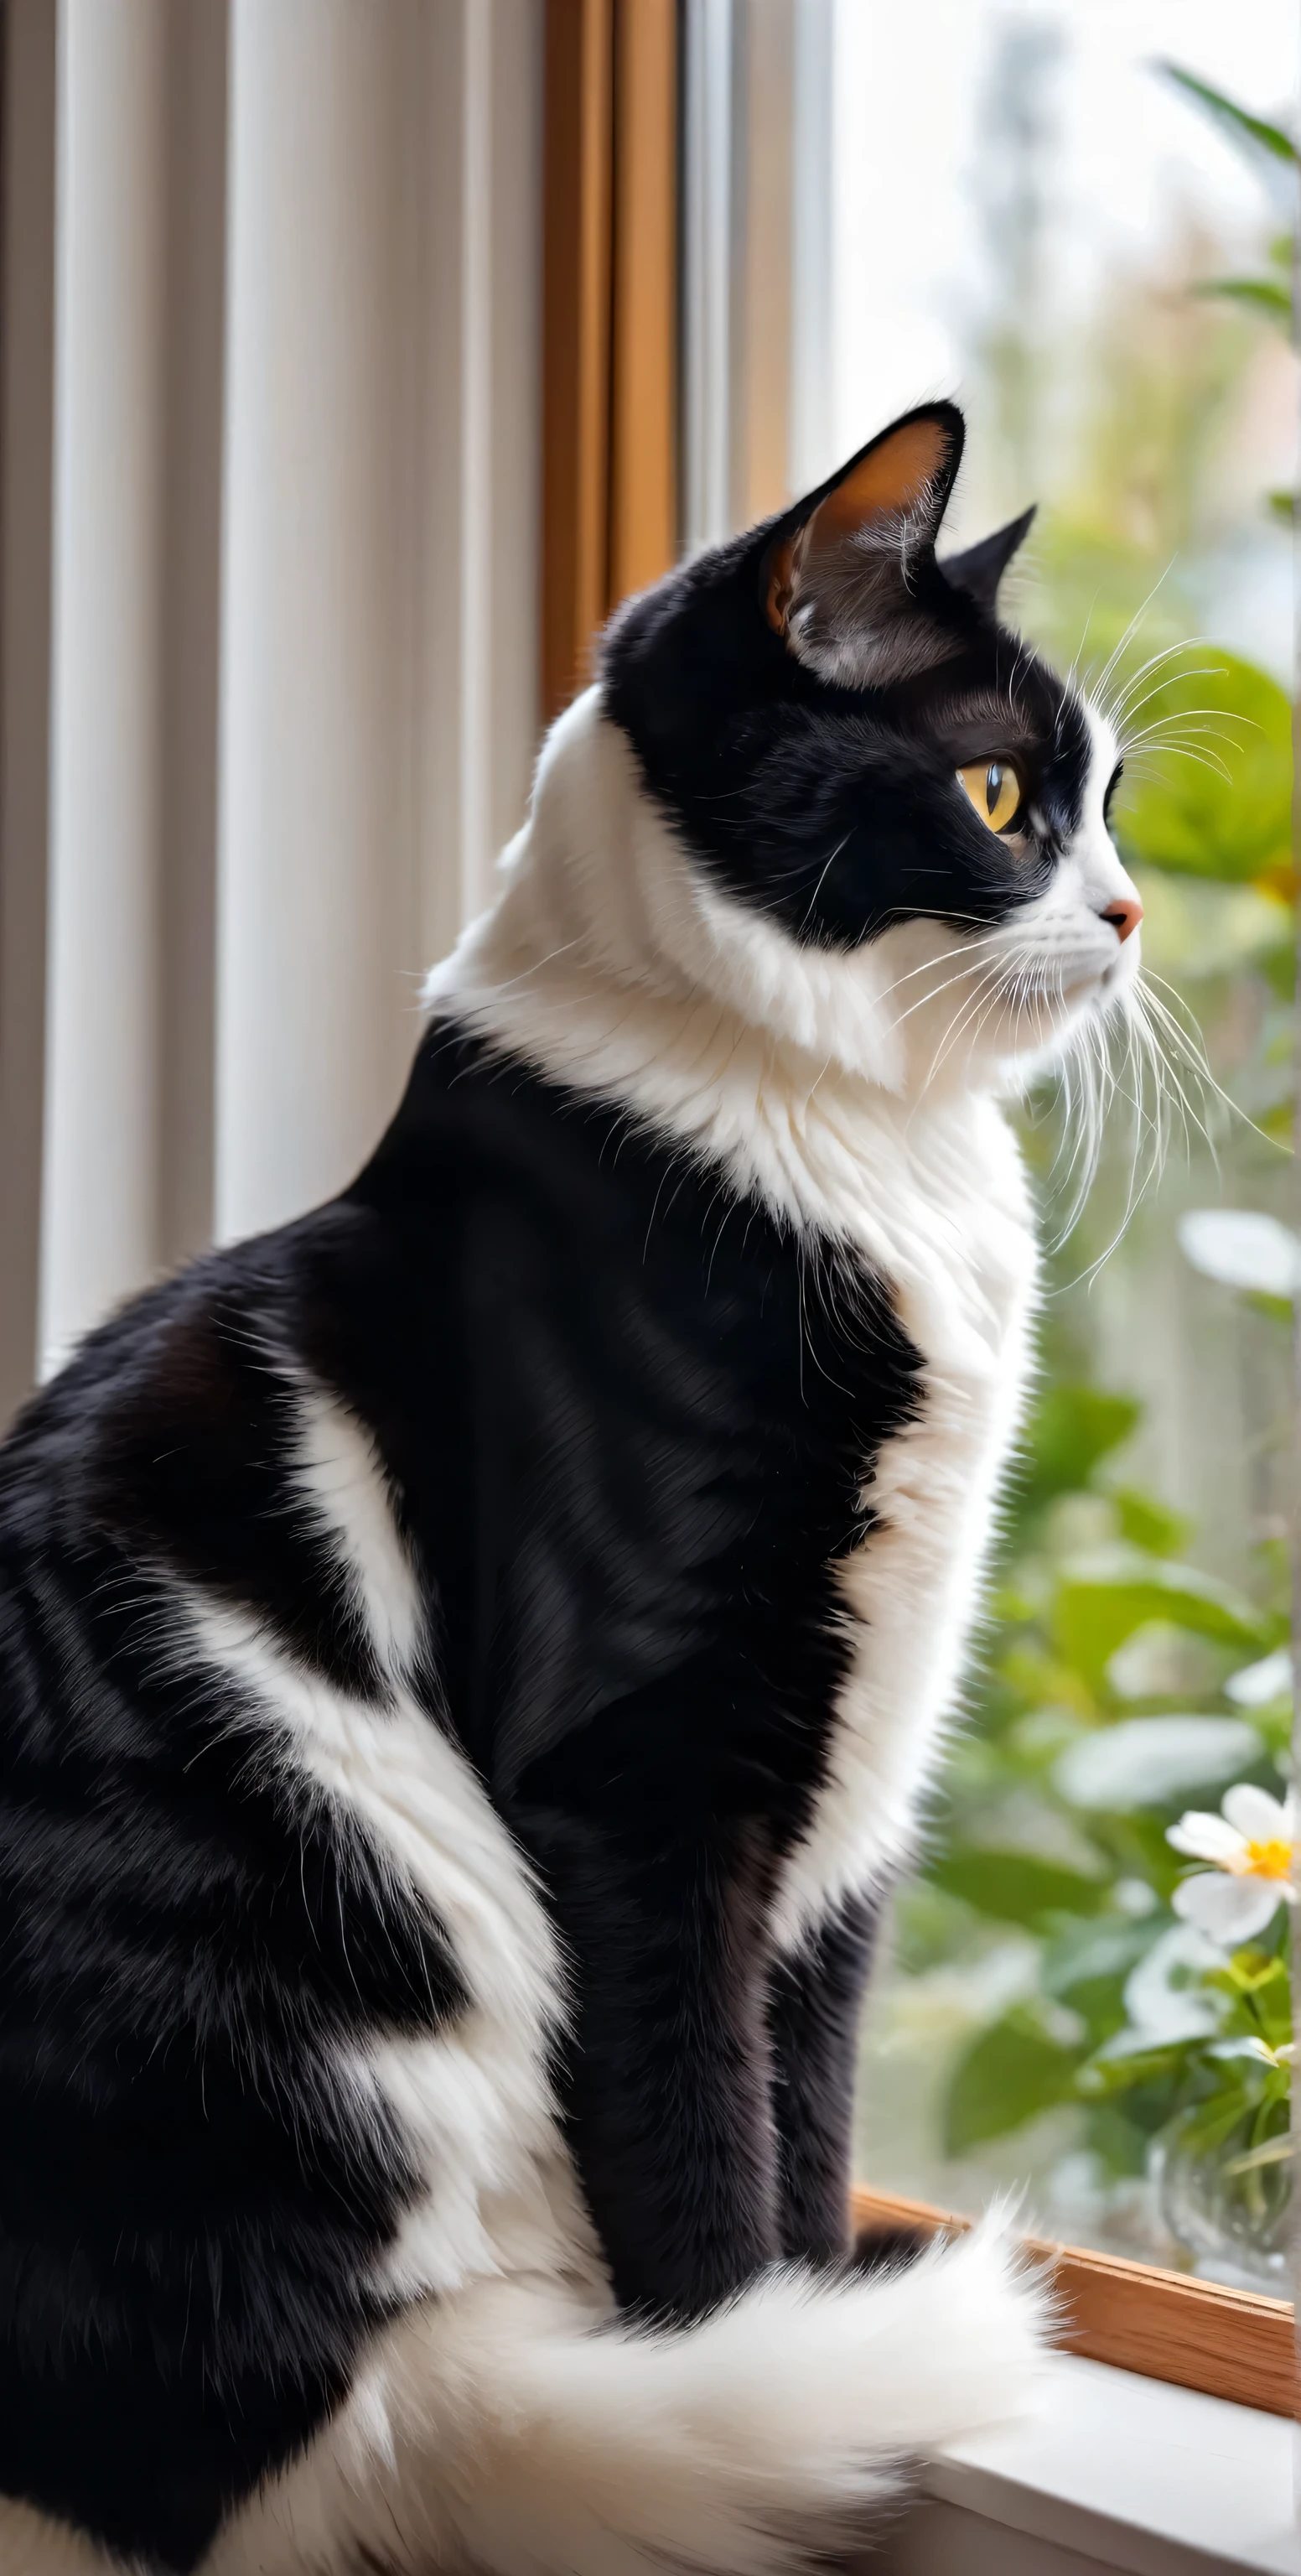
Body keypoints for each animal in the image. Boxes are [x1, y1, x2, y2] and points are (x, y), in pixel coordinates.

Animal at [0, 407, 1133, 2576]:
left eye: (1108, 803)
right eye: (997, 793)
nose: (1126, 916)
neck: (864, 1148)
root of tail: (313, 2421)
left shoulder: (852, 1788)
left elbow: (806, 2096)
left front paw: (810, 2291)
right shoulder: (646, 1754)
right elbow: (694, 2135)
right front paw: (756, 2340)